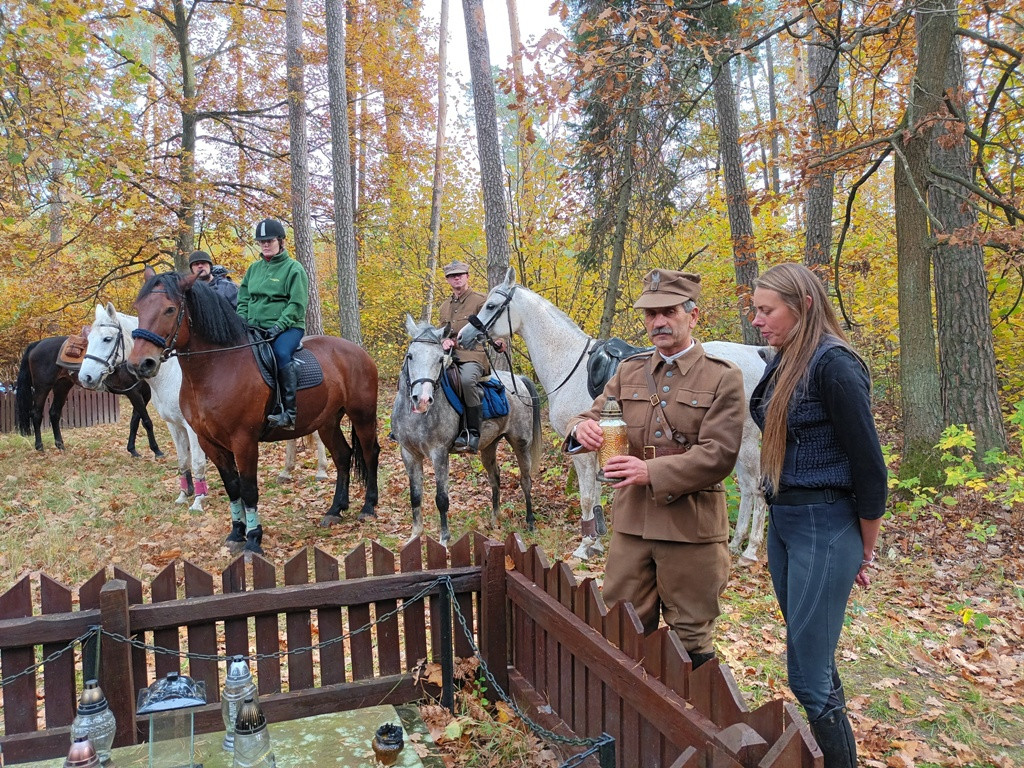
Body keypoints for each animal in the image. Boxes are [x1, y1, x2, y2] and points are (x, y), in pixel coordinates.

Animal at [14, 335, 161, 456]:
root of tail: (38, 344)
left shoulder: (144, 395)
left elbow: (135, 421)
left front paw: (132, 450)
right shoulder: (133, 392)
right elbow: (146, 421)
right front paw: (157, 450)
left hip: (62, 386)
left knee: (54, 413)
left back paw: (60, 446)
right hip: (42, 387)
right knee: (36, 414)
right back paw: (39, 447)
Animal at [79, 305, 209, 512]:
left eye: (107, 339)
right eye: (89, 339)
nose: (85, 377)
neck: (173, 375)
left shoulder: (192, 428)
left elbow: (197, 461)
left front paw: (198, 501)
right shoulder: (175, 425)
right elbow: (183, 459)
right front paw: (183, 495)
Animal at [126, 270, 380, 552]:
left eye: (170, 309)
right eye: (139, 307)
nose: (140, 364)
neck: (218, 367)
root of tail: (357, 351)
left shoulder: (244, 441)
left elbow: (249, 489)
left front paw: (253, 539)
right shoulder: (210, 442)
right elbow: (233, 487)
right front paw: (237, 533)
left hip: (362, 415)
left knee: (369, 453)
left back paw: (368, 507)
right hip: (327, 421)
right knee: (343, 456)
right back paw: (335, 510)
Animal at [393, 317, 544, 548]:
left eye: (440, 359)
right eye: (410, 356)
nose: (423, 400)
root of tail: (518, 380)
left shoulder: (439, 453)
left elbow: (441, 499)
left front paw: (444, 540)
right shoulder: (409, 454)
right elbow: (415, 496)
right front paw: (414, 537)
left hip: (521, 443)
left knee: (526, 480)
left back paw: (530, 522)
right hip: (489, 446)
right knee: (495, 477)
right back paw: (494, 520)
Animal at [460, 270, 770, 565]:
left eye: (491, 305)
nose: (463, 335)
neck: (568, 362)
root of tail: (758, 355)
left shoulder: (582, 452)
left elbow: (587, 497)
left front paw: (584, 547)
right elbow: (596, 493)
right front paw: (596, 542)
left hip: (746, 442)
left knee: (756, 489)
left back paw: (750, 551)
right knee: (746, 489)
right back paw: (735, 543)